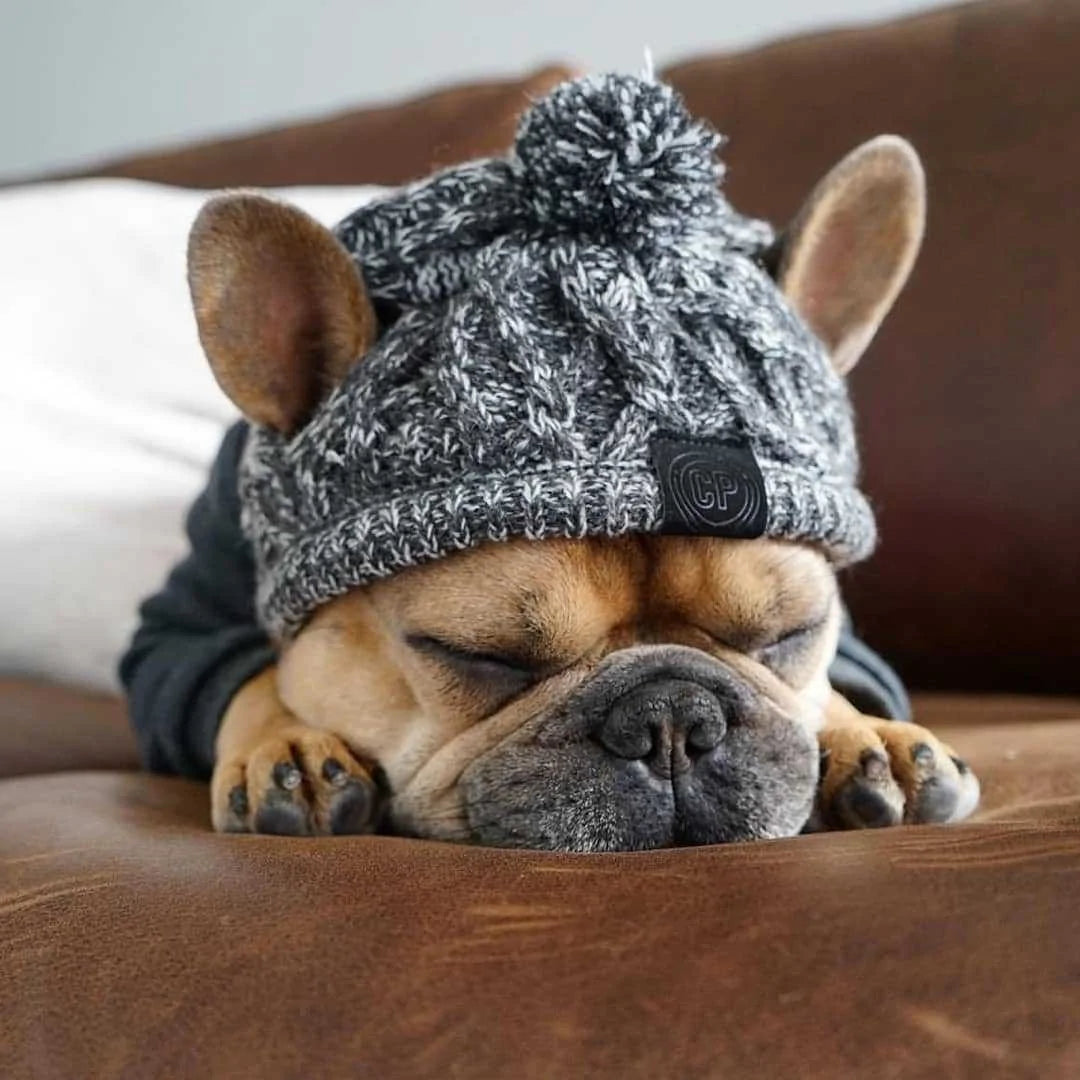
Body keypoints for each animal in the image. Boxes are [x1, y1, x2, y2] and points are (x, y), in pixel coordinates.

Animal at [124, 76, 980, 851]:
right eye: (479, 655)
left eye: (790, 633)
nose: (672, 716)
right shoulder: (177, 633)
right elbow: (254, 679)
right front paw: (288, 745)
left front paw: (867, 733)